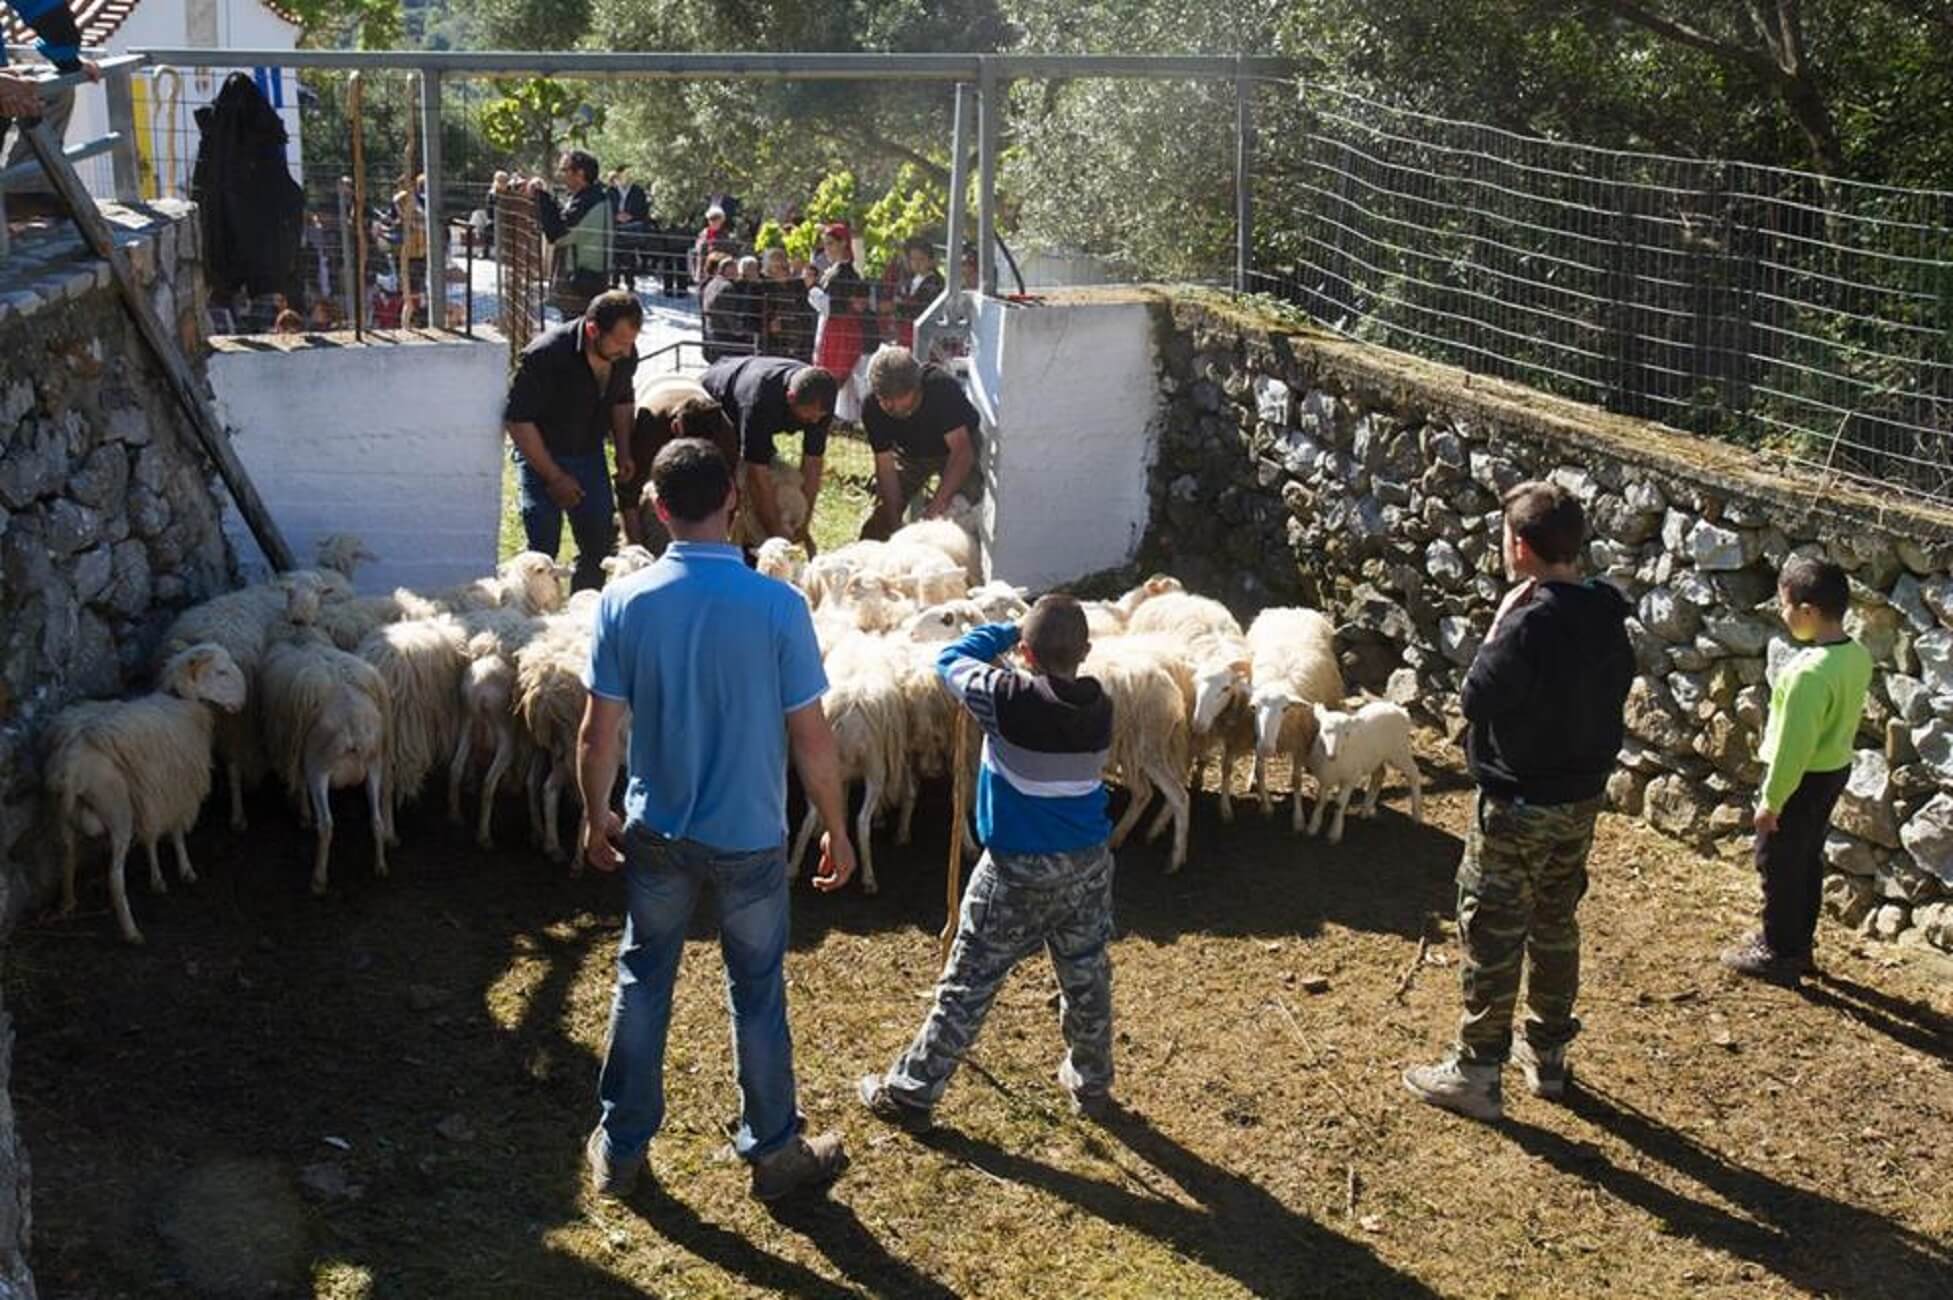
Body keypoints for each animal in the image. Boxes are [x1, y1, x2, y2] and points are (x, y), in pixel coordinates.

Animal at [44, 640, 248, 936]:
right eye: (221, 672)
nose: (242, 700)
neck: (182, 701)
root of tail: (71, 769)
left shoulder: (151, 792)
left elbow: (151, 836)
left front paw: (157, 879)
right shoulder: (177, 788)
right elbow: (176, 832)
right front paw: (185, 870)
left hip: (61, 816)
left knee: (67, 855)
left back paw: (68, 903)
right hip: (118, 812)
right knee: (114, 877)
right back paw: (131, 932)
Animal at [257, 628, 390, 890]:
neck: (300, 635)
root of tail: (353, 724)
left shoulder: (298, 750)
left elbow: (299, 785)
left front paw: (303, 815)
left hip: (318, 767)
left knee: (327, 825)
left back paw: (318, 879)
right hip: (374, 764)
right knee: (376, 820)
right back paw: (380, 866)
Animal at [1304, 698, 1429, 839]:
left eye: (1347, 733)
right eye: (1324, 730)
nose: (1332, 755)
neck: (1335, 763)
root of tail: (1400, 710)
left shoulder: (1351, 778)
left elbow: (1339, 804)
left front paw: (1335, 833)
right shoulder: (1325, 778)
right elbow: (1320, 801)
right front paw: (1312, 827)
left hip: (1398, 750)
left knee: (1414, 773)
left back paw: (1416, 814)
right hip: (1376, 757)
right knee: (1380, 774)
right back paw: (1365, 809)